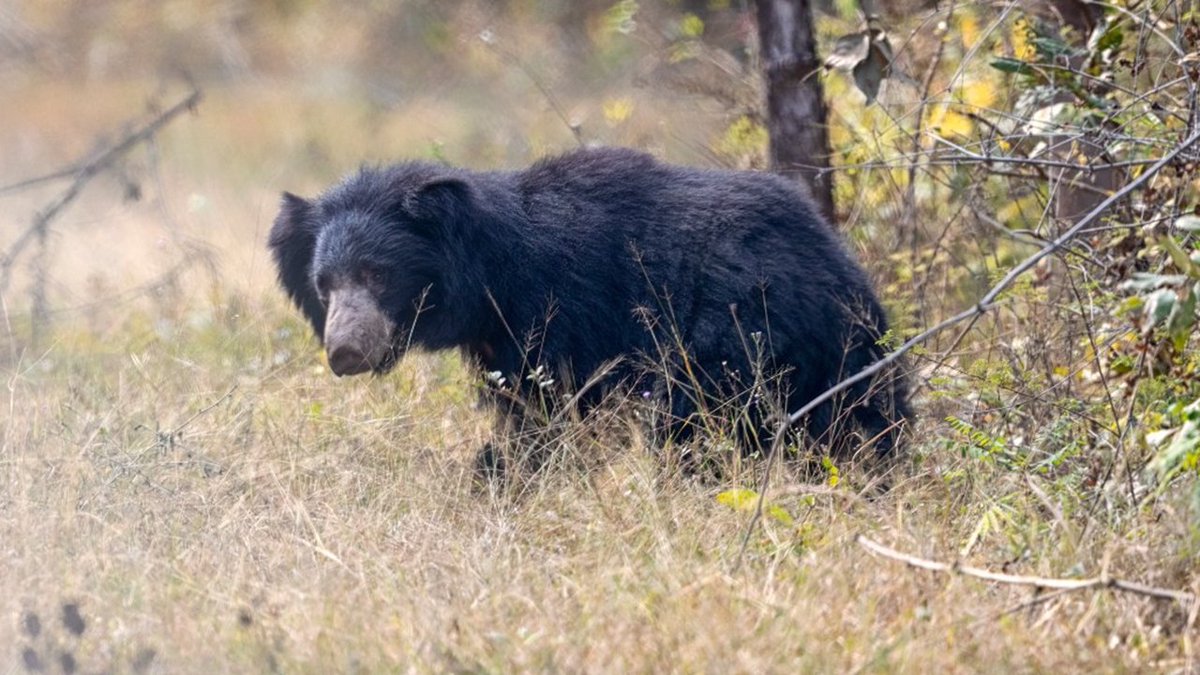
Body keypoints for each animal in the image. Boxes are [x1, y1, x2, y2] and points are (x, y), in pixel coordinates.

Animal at [269, 147, 908, 458]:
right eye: (325, 286)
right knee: (864, 421)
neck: (489, 278)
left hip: (739, 337)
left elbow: (555, 415)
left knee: (707, 425)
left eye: (377, 275)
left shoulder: (562, 317)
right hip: (843, 357)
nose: (345, 352)